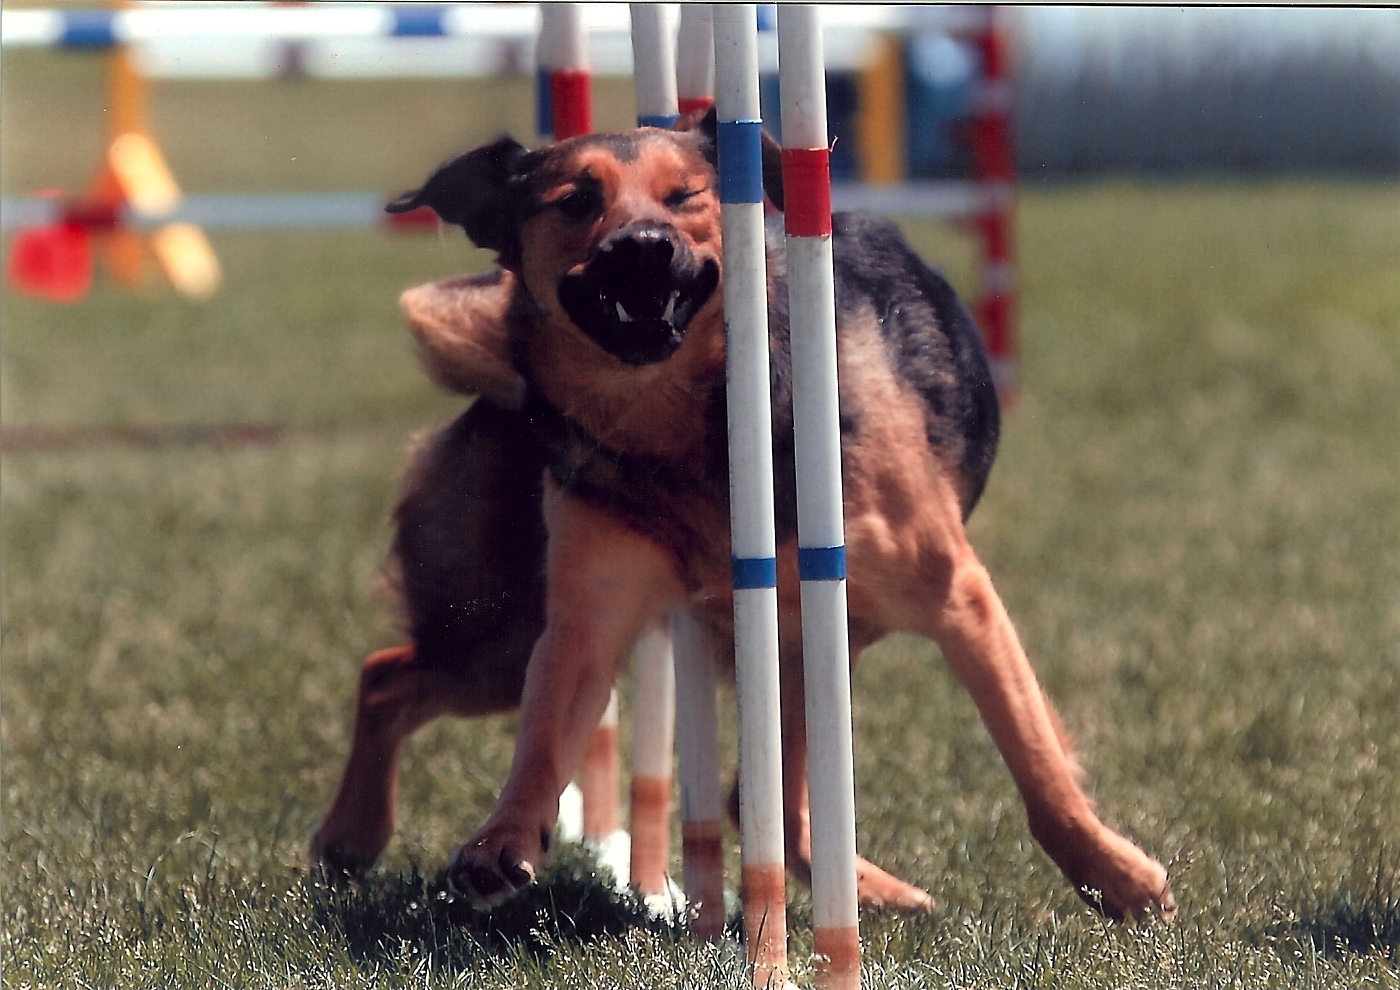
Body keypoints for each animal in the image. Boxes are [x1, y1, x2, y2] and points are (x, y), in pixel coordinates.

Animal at [312, 121, 1176, 924]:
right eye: (577, 201)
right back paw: (350, 836)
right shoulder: (587, 618)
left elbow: (1039, 765)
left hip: (767, 645)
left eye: (685, 196)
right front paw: (503, 841)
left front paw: (1121, 881)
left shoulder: (956, 597)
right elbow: (544, 739)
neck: (681, 429)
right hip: (510, 634)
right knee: (387, 677)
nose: (643, 248)